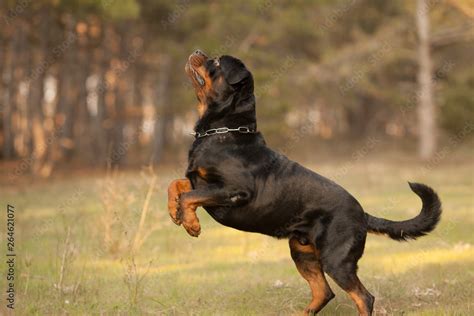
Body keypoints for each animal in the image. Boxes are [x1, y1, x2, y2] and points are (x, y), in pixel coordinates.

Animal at [168, 50, 442, 316]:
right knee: (324, 293)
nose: (197, 51)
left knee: (364, 297)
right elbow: (176, 185)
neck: (224, 131)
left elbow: (189, 196)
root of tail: (362, 214)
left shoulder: (236, 190)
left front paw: (191, 224)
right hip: (302, 252)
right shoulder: (200, 182)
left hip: (336, 259)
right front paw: (174, 212)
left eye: (215, 62)